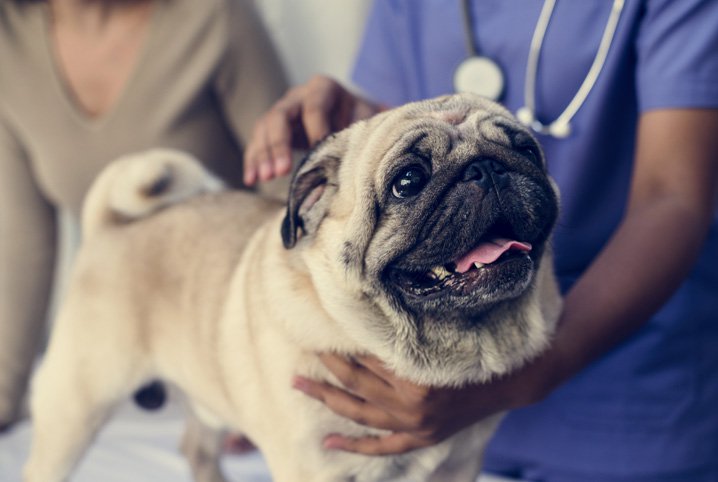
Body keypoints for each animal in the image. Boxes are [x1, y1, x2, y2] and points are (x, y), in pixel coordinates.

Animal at [23, 94, 564, 482]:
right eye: (408, 181)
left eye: (526, 150)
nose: (487, 167)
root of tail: (109, 227)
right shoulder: (315, 469)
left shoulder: (458, 467)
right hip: (76, 407)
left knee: (196, 447)